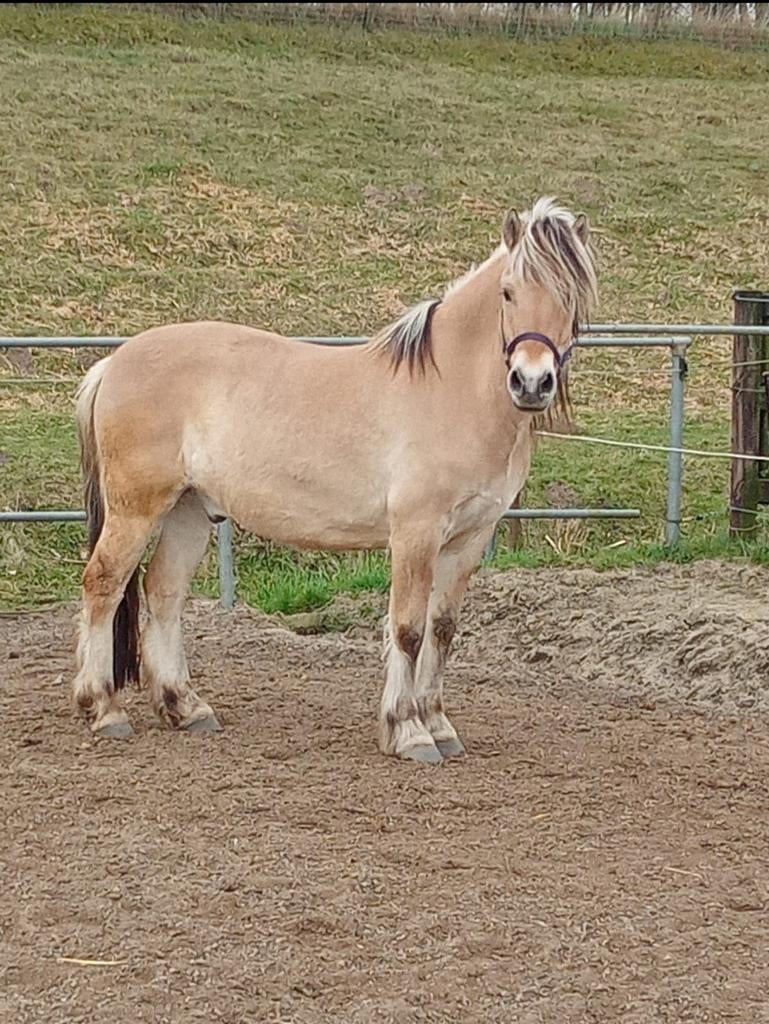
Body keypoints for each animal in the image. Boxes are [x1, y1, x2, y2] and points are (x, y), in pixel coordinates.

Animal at [73, 197, 597, 764]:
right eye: (508, 291)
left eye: (571, 299)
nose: (532, 383)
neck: (450, 389)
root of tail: (112, 362)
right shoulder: (415, 533)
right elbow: (407, 629)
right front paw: (408, 731)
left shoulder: (469, 539)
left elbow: (442, 630)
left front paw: (439, 725)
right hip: (137, 508)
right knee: (104, 584)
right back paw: (103, 709)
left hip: (189, 510)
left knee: (164, 591)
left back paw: (186, 708)